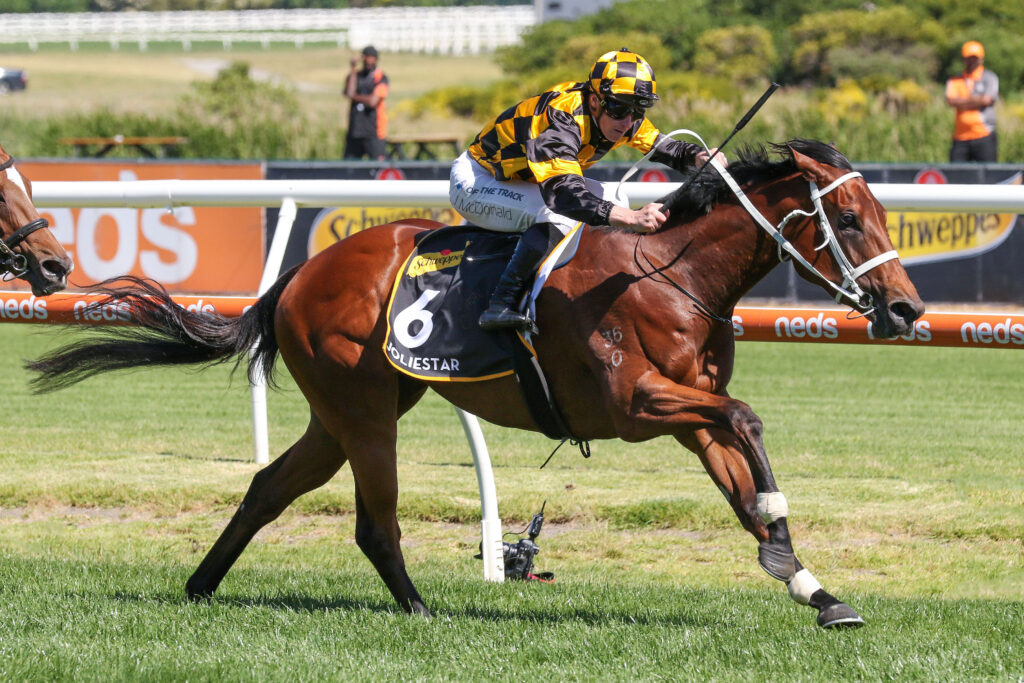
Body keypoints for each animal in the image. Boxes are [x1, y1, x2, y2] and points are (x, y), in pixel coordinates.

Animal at [27, 139, 923, 629]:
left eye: (883, 215)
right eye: (848, 220)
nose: (907, 308)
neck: (672, 271)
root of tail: (297, 276)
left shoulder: (686, 415)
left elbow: (742, 474)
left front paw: (811, 583)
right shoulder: (638, 402)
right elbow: (747, 416)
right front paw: (785, 546)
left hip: (347, 410)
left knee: (269, 486)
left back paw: (201, 585)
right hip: (363, 410)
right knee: (372, 521)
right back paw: (420, 608)